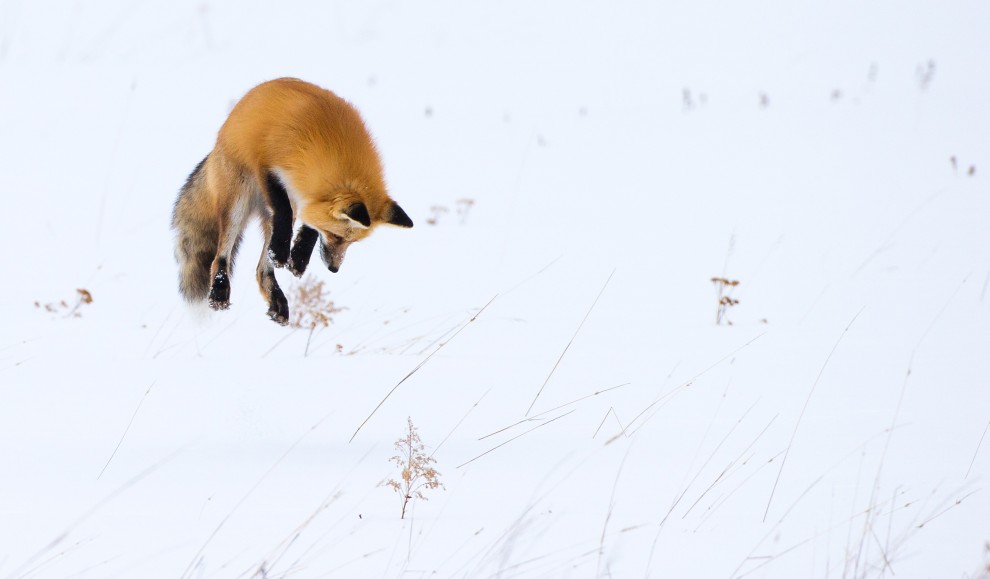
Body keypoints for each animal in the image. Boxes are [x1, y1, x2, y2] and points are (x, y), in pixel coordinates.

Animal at [172, 78, 413, 325]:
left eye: (351, 242)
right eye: (336, 236)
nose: (334, 269)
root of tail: (218, 143)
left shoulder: (306, 195)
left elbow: (311, 225)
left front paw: (298, 257)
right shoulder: (269, 167)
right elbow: (283, 210)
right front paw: (281, 250)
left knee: (261, 269)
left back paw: (276, 297)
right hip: (237, 204)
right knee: (220, 256)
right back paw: (220, 290)